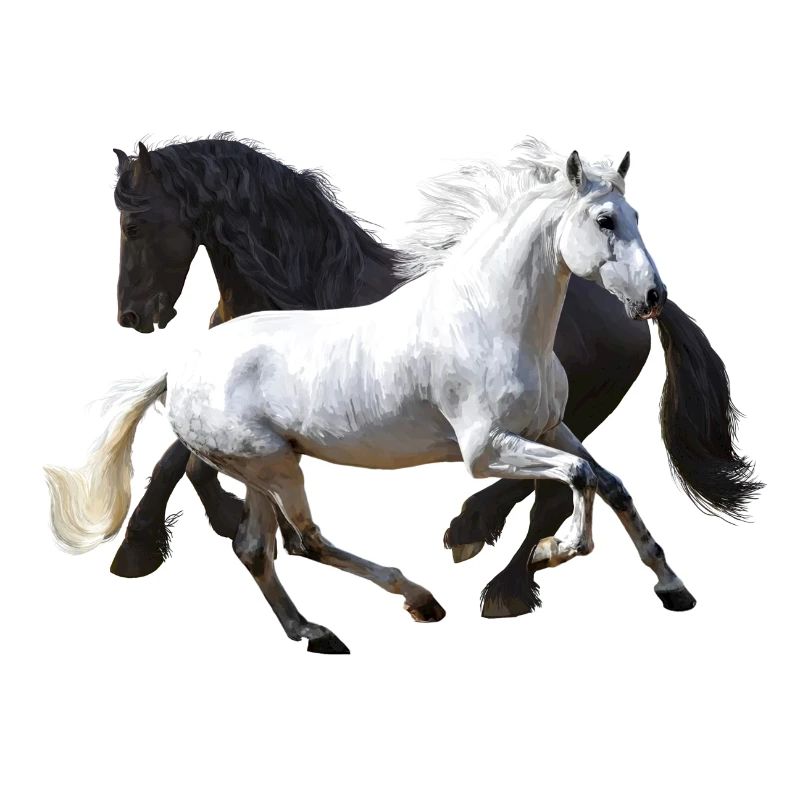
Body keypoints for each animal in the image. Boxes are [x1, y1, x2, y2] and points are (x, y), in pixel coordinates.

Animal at [46, 143, 751, 653]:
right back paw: (420, 599)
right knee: (298, 541)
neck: (491, 316)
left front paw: (673, 586)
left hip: (263, 467)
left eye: (636, 218)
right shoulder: (485, 451)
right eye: (605, 220)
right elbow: (580, 480)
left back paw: (322, 627)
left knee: (258, 546)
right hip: (273, 464)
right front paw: (556, 555)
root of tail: (178, 370)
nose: (651, 297)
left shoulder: (551, 428)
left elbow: (611, 483)